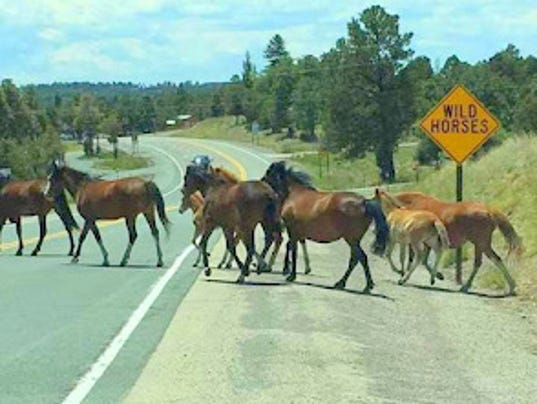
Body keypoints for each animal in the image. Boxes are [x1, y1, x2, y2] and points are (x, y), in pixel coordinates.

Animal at [260, 159, 390, 292]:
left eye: (268, 173)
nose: (261, 182)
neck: (295, 194)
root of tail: (364, 202)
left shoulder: (293, 231)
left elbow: (293, 251)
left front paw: (291, 275)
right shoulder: (297, 233)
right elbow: (291, 247)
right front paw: (289, 270)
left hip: (351, 239)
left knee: (360, 258)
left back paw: (365, 285)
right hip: (354, 240)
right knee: (355, 259)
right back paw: (343, 283)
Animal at [392, 191, 520, 296]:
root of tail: (489, 211)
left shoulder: (421, 243)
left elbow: (419, 260)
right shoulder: (426, 244)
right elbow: (423, 261)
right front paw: (437, 275)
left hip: (481, 243)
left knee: (483, 262)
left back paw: (466, 286)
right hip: (481, 244)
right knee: (493, 260)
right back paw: (511, 286)